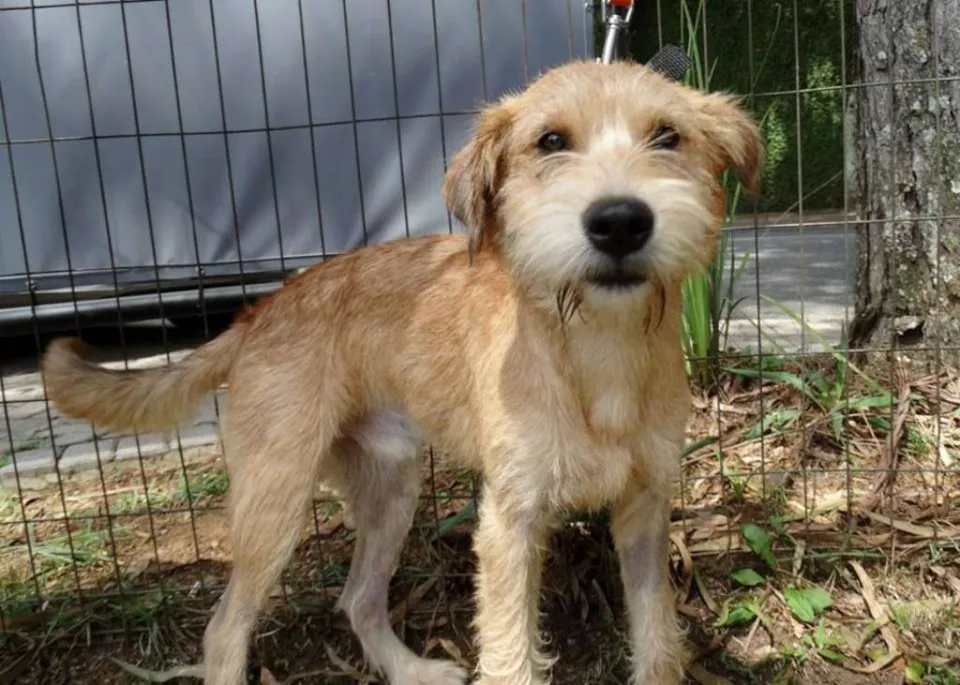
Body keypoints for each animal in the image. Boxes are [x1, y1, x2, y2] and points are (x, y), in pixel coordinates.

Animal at [42, 59, 762, 685]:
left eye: (667, 135)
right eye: (551, 141)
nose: (619, 221)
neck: (597, 351)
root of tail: (258, 312)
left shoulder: (645, 508)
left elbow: (657, 641)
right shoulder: (510, 523)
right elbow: (511, 652)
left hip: (391, 489)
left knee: (358, 598)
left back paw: (413, 669)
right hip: (274, 504)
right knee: (224, 629)